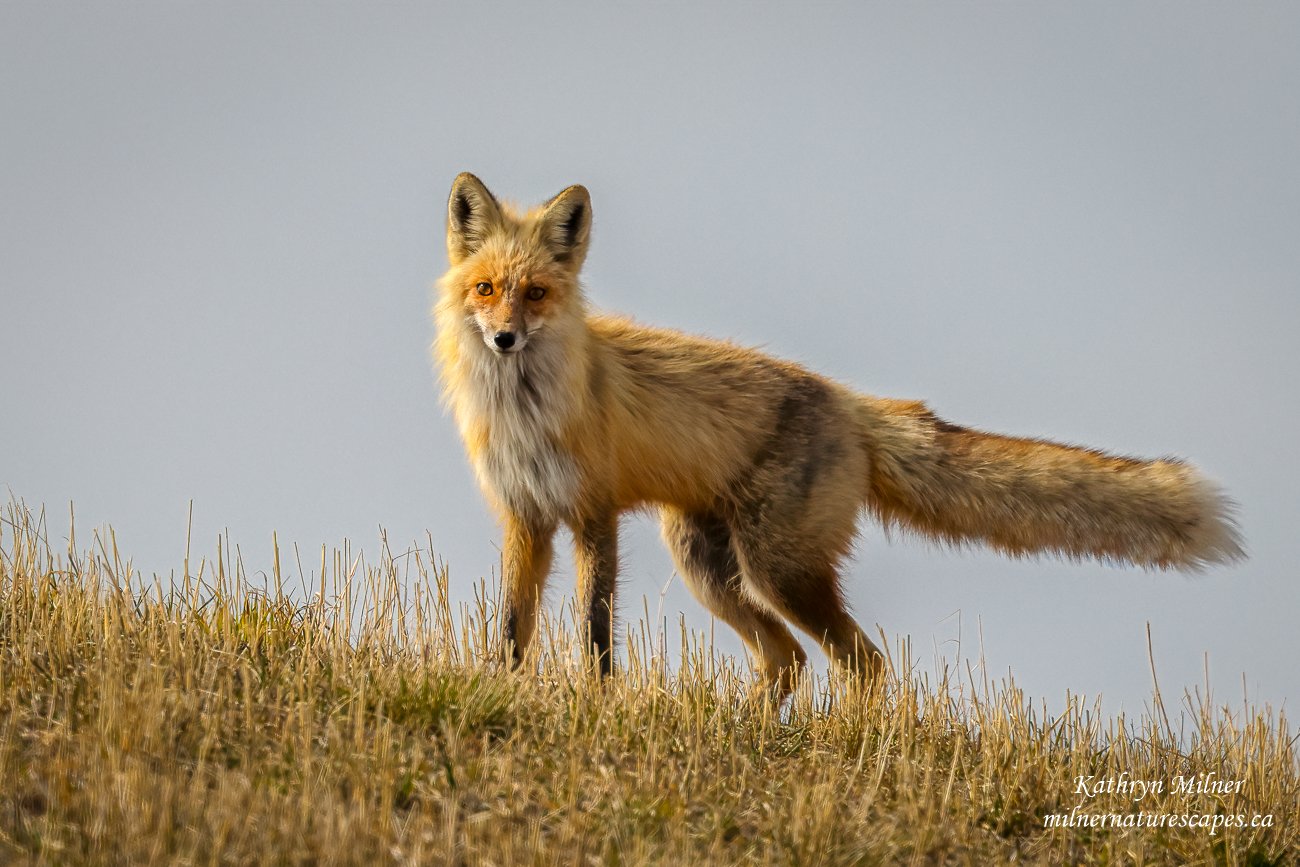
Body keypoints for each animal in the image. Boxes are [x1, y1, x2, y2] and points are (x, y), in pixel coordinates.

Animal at [434, 172, 1243, 699]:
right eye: (486, 289)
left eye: (537, 293)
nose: (504, 338)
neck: (525, 413)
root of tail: (849, 401)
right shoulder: (525, 517)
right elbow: (513, 625)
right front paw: (498, 689)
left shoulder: (595, 513)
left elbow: (595, 631)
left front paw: (598, 705)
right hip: (710, 564)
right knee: (788, 660)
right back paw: (751, 732)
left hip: (776, 568)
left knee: (864, 663)